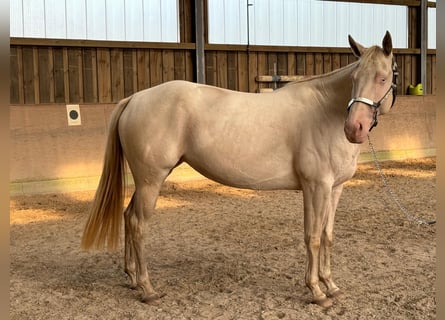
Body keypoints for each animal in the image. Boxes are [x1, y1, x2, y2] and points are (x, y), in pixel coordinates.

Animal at [81, 31, 398, 308]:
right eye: (355, 78)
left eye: (382, 78)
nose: (354, 128)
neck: (325, 112)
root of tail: (135, 98)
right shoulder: (315, 187)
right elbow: (313, 237)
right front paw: (316, 291)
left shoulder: (335, 188)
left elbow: (328, 236)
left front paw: (331, 286)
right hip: (151, 180)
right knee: (138, 224)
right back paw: (147, 289)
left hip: (148, 180)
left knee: (127, 216)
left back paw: (133, 278)